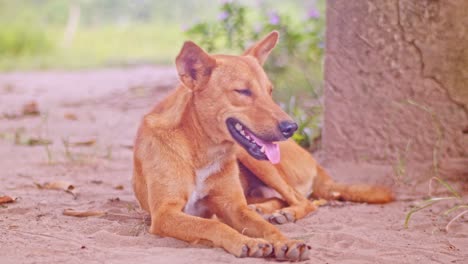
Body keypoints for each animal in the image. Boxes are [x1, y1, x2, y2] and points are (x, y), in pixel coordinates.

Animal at [133, 30, 394, 260]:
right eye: (243, 91)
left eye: (270, 91)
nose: (291, 127)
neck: (201, 150)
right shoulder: (165, 214)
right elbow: (213, 226)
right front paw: (246, 241)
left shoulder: (234, 207)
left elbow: (267, 229)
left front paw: (286, 242)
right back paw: (266, 209)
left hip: (256, 161)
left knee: (305, 201)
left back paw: (284, 213)